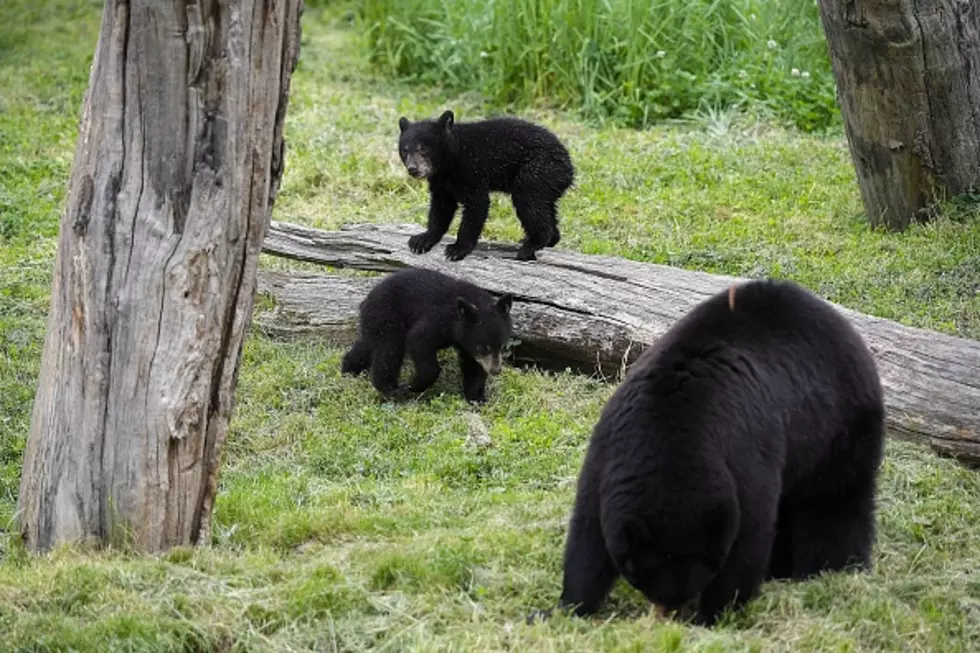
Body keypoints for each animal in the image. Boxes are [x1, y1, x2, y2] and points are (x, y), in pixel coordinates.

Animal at [342, 266, 512, 400]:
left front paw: (477, 397)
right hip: (387, 315)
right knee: (389, 349)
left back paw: (348, 369)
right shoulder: (440, 320)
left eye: (503, 347)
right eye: (483, 348)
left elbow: (474, 365)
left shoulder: (467, 341)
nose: (496, 370)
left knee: (367, 344)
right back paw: (392, 390)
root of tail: (367, 298)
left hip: (376, 321)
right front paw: (415, 385)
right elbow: (418, 338)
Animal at [396, 109, 576, 260]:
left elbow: (476, 205)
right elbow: (441, 207)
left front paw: (457, 249)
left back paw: (530, 246)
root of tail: (569, 167)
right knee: (545, 208)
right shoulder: (440, 182)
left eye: (423, 149)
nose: (413, 169)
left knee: (530, 203)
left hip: (537, 171)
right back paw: (548, 239)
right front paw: (421, 240)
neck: (449, 162)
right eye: (405, 150)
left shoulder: (471, 170)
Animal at [548, 280, 884, 628]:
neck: (672, 433)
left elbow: (749, 537)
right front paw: (568, 607)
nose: (670, 609)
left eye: (703, 573)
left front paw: (713, 616)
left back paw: (833, 568)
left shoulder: (745, 455)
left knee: (833, 500)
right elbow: (587, 532)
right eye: (642, 576)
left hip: (838, 424)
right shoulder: (608, 449)